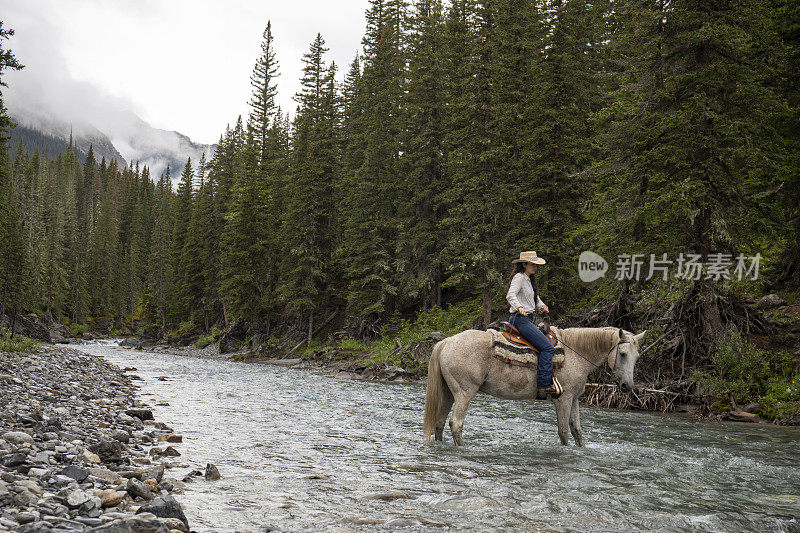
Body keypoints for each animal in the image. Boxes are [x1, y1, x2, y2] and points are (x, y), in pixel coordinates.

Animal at [422, 324, 648, 444]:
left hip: (448, 392)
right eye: (622, 353)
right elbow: (563, 431)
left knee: (440, 423)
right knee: (456, 423)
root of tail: (446, 342)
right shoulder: (563, 399)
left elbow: (577, 430)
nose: (627, 386)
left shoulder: (574, 398)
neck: (576, 353)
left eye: (637, 356)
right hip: (464, 393)